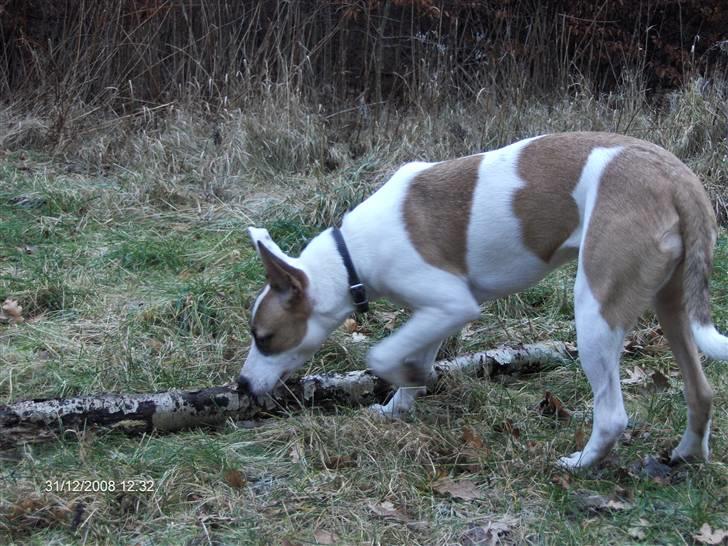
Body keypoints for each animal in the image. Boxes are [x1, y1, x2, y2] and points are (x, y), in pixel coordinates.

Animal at [237, 132, 724, 468]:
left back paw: (581, 464)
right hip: (671, 307)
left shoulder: (453, 304)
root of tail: (677, 176)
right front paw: (400, 405)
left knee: (612, 416)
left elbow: (382, 354)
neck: (350, 255)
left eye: (264, 337)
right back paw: (686, 453)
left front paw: (404, 380)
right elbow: (414, 357)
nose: (240, 386)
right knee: (700, 392)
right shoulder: (439, 313)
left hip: (595, 313)